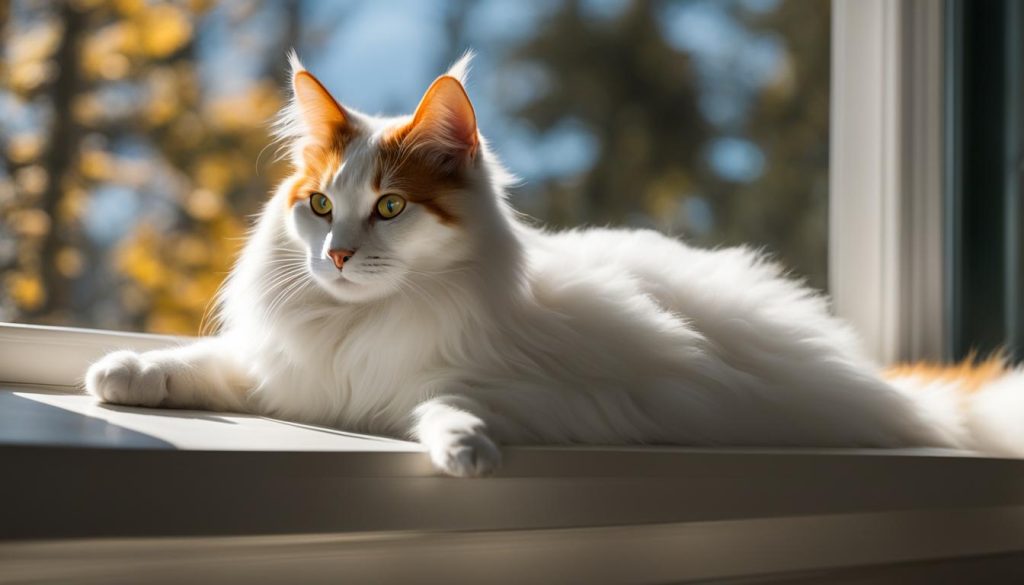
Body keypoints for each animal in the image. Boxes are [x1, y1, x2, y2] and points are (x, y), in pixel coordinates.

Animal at [86, 52, 1024, 477]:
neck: (360, 329)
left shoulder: (549, 399)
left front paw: (464, 450)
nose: (339, 254)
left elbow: (443, 402)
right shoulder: (290, 376)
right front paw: (119, 373)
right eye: (318, 207)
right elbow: (200, 364)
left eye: (389, 207)